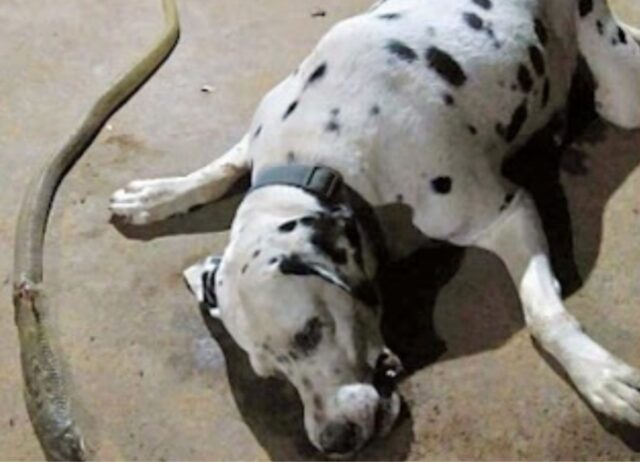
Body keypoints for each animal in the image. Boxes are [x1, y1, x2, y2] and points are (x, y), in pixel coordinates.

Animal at [110, 0, 640, 454]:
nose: (334, 441)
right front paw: (155, 196)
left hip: (618, 87)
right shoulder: (257, 139)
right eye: (271, 373)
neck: (327, 157)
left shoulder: (506, 213)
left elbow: (543, 318)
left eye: (309, 333)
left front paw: (598, 376)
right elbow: (215, 171)